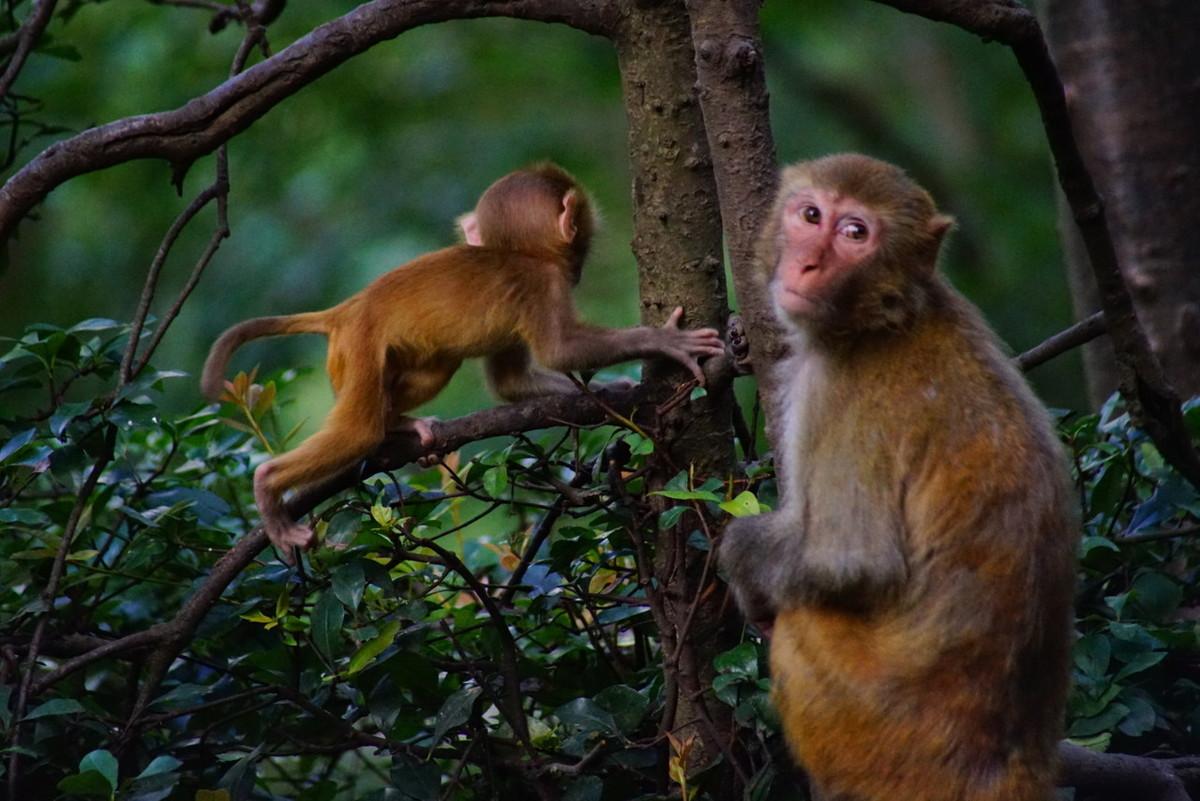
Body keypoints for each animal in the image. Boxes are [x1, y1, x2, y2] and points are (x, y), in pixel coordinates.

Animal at [205, 161, 720, 561]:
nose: (580, 268)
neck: (515, 250)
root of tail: (344, 311)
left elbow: (510, 383)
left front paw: (607, 392)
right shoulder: (542, 283)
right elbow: (561, 351)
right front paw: (665, 342)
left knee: (430, 373)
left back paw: (400, 427)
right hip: (358, 349)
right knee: (357, 431)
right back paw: (271, 484)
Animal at [720, 153, 1080, 796]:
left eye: (854, 233)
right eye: (810, 215)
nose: (807, 263)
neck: (886, 315)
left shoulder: (834, 391)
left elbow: (851, 563)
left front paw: (740, 557)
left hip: (875, 735)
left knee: (804, 627)